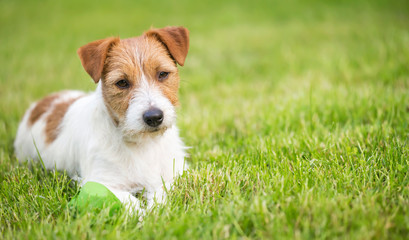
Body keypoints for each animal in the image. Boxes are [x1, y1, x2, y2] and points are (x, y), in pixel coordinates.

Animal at [13, 26, 190, 213]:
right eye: (122, 82)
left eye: (163, 74)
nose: (154, 117)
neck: (142, 144)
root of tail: (41, 104)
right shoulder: (99, 182)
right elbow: (129, 200)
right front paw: (144, 216)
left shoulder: (172, 174)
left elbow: (161, 193)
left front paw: (157, 211)